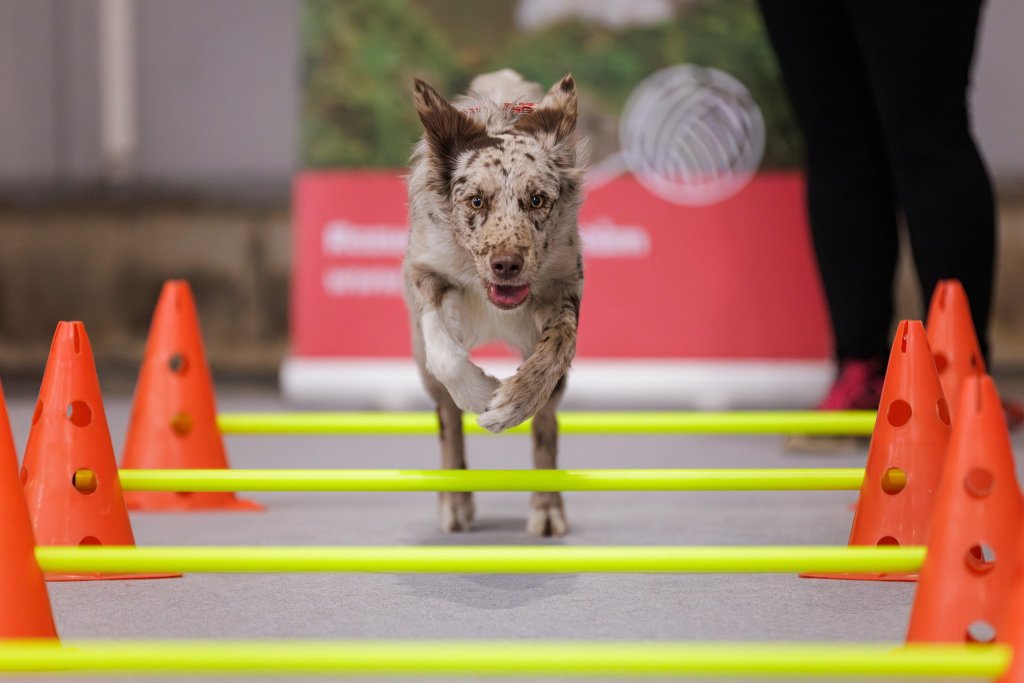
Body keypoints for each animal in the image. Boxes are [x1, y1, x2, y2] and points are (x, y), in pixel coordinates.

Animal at [404, 70, 587, 536]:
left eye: (537, 199)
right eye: (476, 200)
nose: (507, 264)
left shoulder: (563, 283)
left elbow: (555, 352)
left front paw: (509, 404)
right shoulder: (426, 272)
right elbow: (445, 355)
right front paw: (481, 393)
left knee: (547, 421)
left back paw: (546, 506)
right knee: (446, 418)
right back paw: (455, 500)